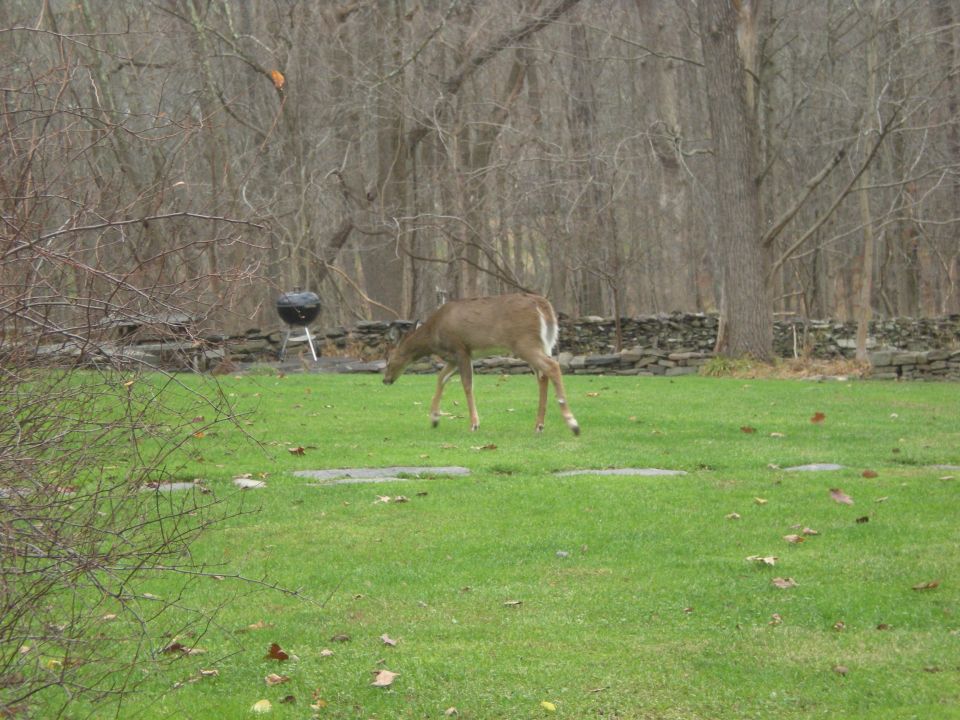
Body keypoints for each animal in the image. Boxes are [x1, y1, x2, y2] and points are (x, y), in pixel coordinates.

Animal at [382, 293, 580, 435]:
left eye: (388, 359)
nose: (385, 380)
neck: (433, 334)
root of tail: (544, 307)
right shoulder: (454, 357)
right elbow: (441, 378)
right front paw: (434, 419)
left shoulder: (460, 349)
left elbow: (467, 385)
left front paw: (474, 424)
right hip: (543, 344)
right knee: (543, 375)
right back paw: (539, 425)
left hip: (525, 343)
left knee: (552, 367)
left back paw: (572, 424)